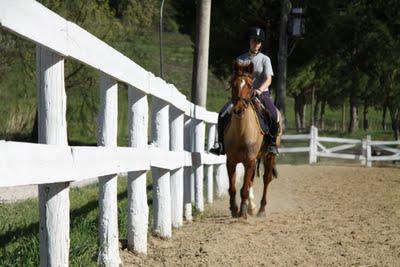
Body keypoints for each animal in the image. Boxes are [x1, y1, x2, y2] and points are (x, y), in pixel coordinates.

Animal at [223, 60, 282, 220]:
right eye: (233, 83)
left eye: (250, 85)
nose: (238, 108)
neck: (241, 132)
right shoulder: (231, 161)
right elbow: (233, 188)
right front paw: (234, 209)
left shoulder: (250, 160)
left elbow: (244, 188)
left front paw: (242, 212)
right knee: (250, 182)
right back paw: (252, 207)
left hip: (269, 156)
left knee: (266, 179)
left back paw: (261, 210)